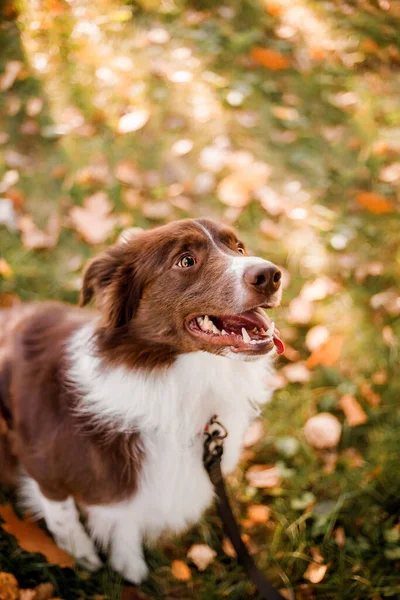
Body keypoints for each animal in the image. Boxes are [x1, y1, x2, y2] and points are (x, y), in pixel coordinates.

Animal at [0, 218, 282, 584]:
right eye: (186, 261)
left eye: (239, 248)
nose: (272, 275)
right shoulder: (42, 464)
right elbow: (65, 515)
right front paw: (84, 557)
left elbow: (125, 519)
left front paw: (126, 563)